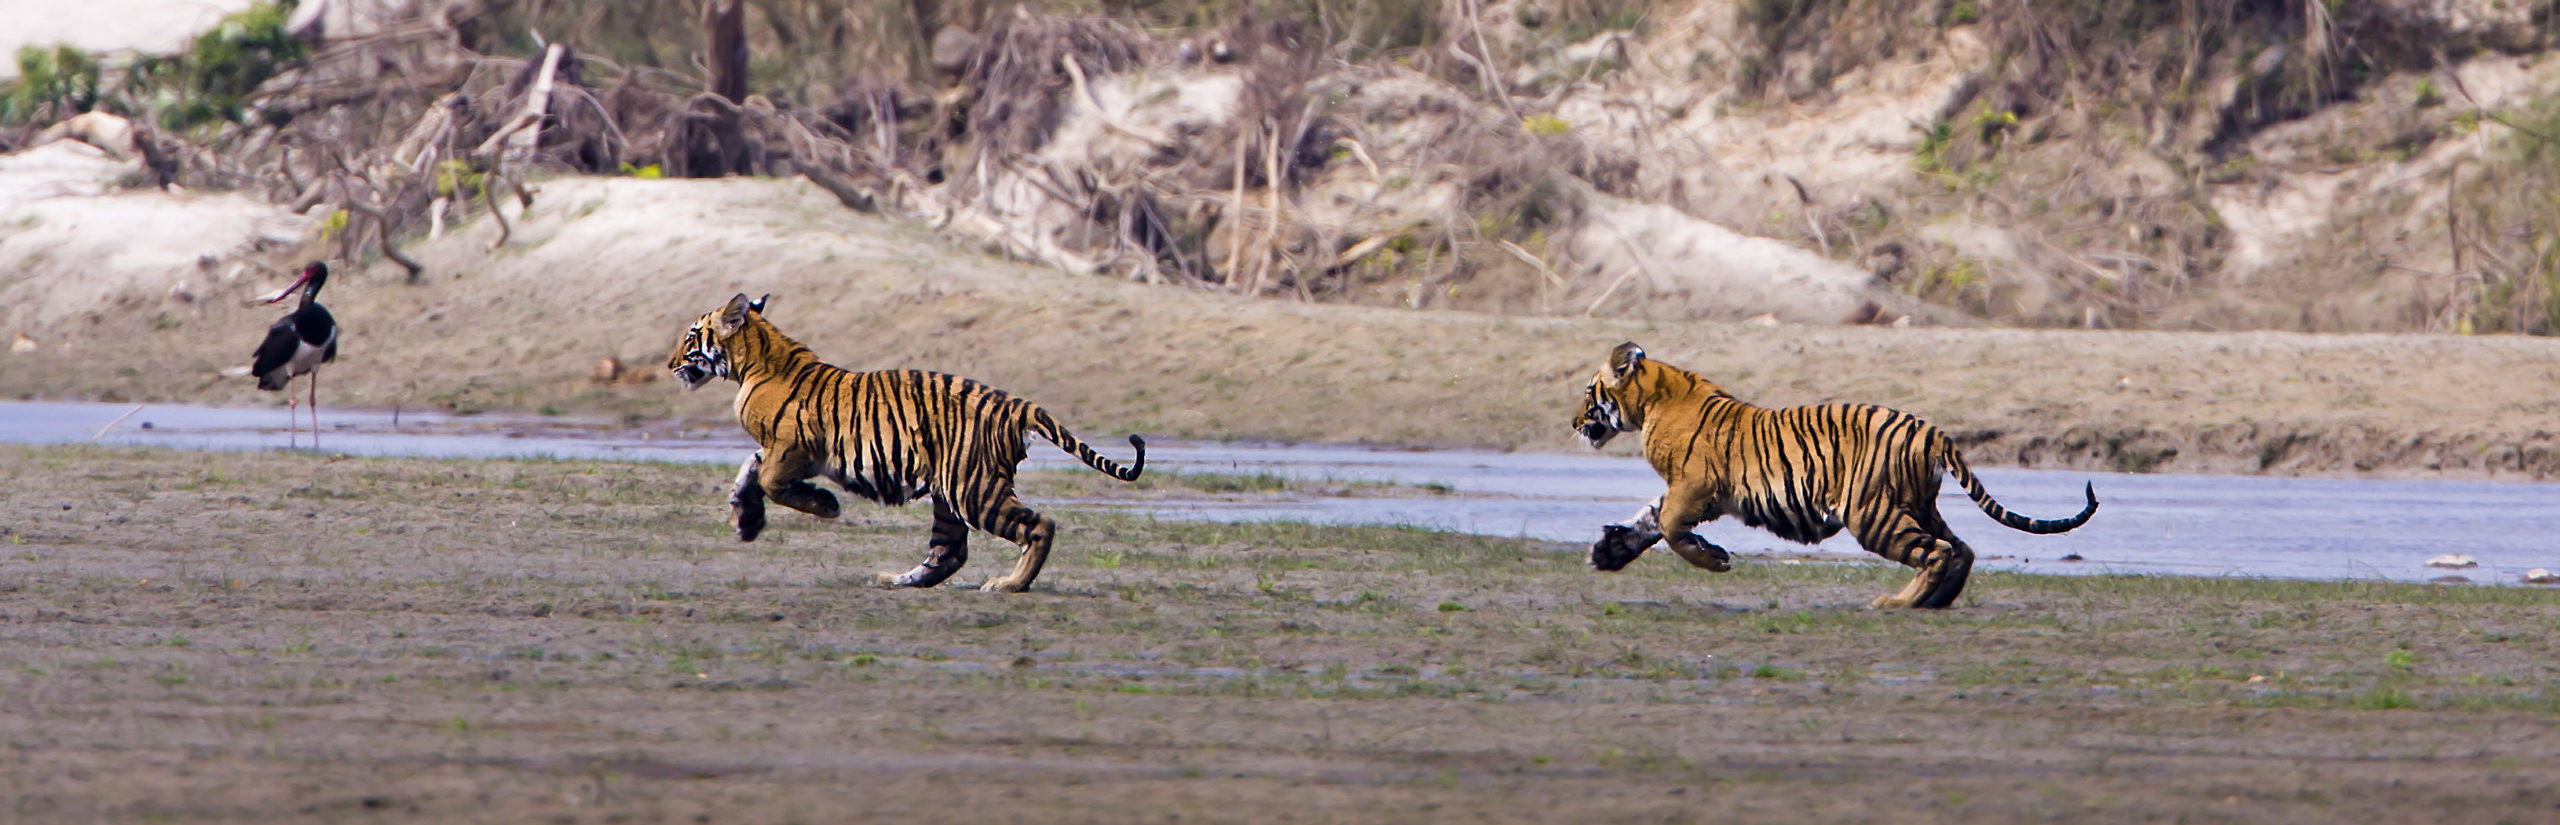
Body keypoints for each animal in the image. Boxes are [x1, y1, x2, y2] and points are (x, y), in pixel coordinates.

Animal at [665, 294, 1146, 591]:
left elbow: (768, 479)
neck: (753, 362)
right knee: (949, 552)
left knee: (1039, 525)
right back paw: (896, 580)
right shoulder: (781, 450)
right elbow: (749, 469)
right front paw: (746, 520)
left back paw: (1009, 585)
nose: (668, 365)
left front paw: (824, 505)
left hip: (972, 488)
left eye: (691, 336)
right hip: (949, 494)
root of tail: (1015, 404)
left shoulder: (792, 447)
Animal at [1566, 340, 2088, 604]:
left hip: (1872, 513)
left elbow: (1672, 527)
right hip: (1916, 505)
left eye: (1590, 392)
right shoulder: (1688, 489)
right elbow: (1650, 519)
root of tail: (1931, 429)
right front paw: (1609, 551)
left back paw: (1896, 603)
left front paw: (1712, 559)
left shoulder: (1697, 486)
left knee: (1938, 552)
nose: (1572, 423)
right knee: (1962, 549)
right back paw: (1935, 601)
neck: (1652, 399)